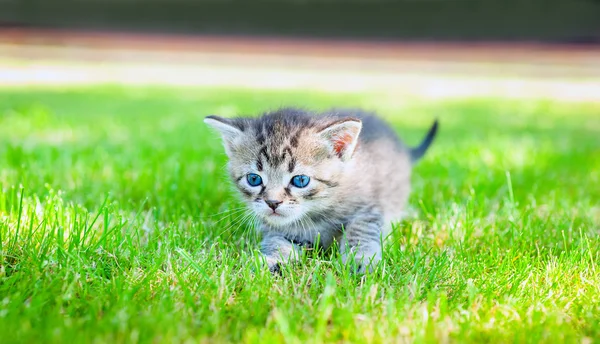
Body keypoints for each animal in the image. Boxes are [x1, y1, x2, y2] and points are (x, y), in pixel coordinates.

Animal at [204, 107, 438, 274]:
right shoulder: (278, 228)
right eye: (254, 179)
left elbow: (361, 229)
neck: (314, 214)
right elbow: (277, 241)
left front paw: (360, 259)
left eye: (300, 180)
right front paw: (272, 260)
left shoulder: (371, 207)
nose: (272, 203)